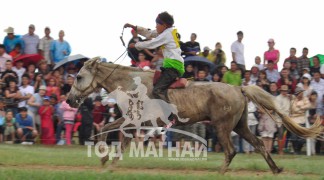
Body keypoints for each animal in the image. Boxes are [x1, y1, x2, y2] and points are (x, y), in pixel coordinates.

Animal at [67, 57, 322, 174]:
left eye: (79, 76)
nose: (69, 100)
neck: (131, 84)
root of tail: (238, 88)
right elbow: (111, 132)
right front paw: (107, 160)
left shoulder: (135, 120)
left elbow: (112, 134)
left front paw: (106, 160)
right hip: (239, 126)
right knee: (259, 144)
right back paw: (275, 169)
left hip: (222, 127)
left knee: (231, 150)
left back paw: (220, 172)